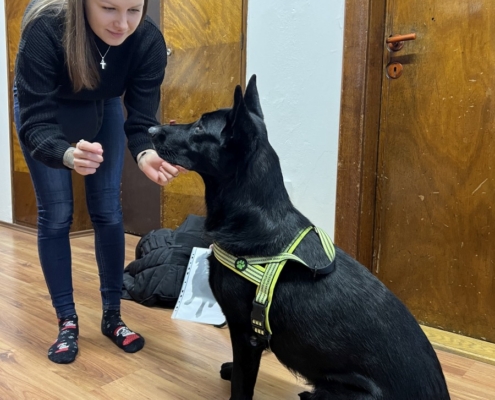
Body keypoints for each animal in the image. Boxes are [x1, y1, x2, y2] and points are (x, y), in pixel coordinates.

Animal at [149, 76, 452, 400]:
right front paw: (230, 369)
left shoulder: (246, 334)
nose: (151, 130)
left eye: (199, 128)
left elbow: (243, 383)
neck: (254, 213)